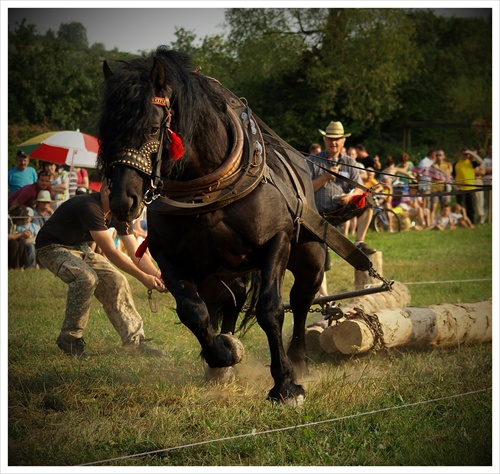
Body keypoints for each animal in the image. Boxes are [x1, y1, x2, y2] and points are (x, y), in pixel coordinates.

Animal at [96, 47, 328, 404]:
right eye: (106, 133)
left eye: (153, 129)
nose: (123, 200)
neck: (208, 187)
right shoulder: (169, 257)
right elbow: (194, 312)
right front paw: (221, 355)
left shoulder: (276, 241)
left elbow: (271, 309)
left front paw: (286, 384)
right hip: (218, 270)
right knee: (231, 299)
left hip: (309, 256)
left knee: (302, 299)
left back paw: (300, 360)